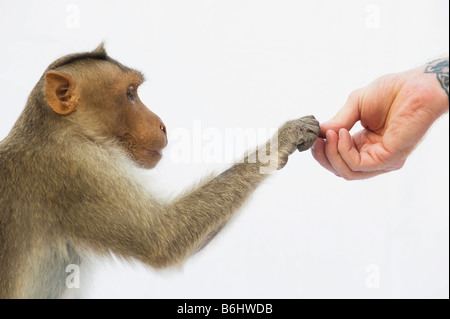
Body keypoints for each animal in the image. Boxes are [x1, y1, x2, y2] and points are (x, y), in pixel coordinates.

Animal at [0, 43, 320, 298]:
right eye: (130, 94)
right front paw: (283, 139)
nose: (162, 124)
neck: (59, 131)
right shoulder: (78, 169)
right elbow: (163, 239)